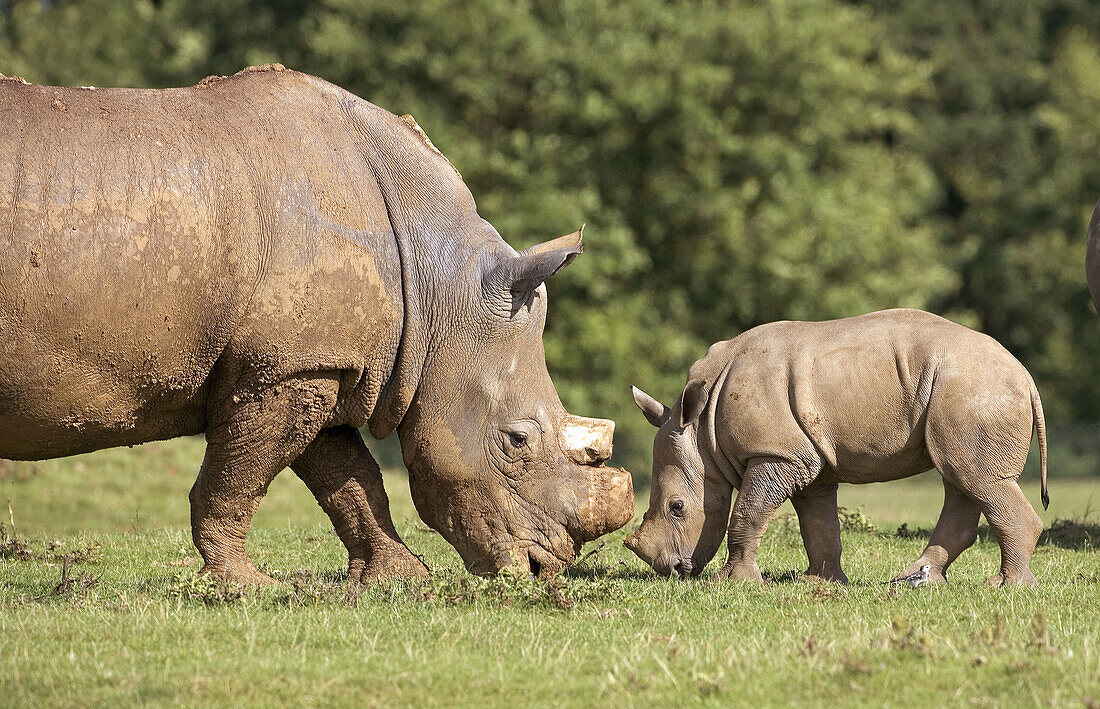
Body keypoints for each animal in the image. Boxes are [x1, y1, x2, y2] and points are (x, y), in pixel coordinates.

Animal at [0, 64, 633, 580]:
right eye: (517, 440)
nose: (543, 567)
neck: (440, 288)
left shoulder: (318, 359)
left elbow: (349, 478)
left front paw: (401, 581)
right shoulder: (286, 367)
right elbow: (238, 479)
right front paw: (246, 586)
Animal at [629, 309, 1047, 584]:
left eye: (677, 507)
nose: (669, 570)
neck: (703, 434)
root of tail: (1026, 377)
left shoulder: (776, 452)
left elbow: (747, 512)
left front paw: (734, 583)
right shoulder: (805, 458)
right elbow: (818, 522)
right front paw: (819, 583)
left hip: (976, 391)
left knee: (975, 478)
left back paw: (1005, 587)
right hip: (963, 393)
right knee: (961, 478)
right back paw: (917, 582)